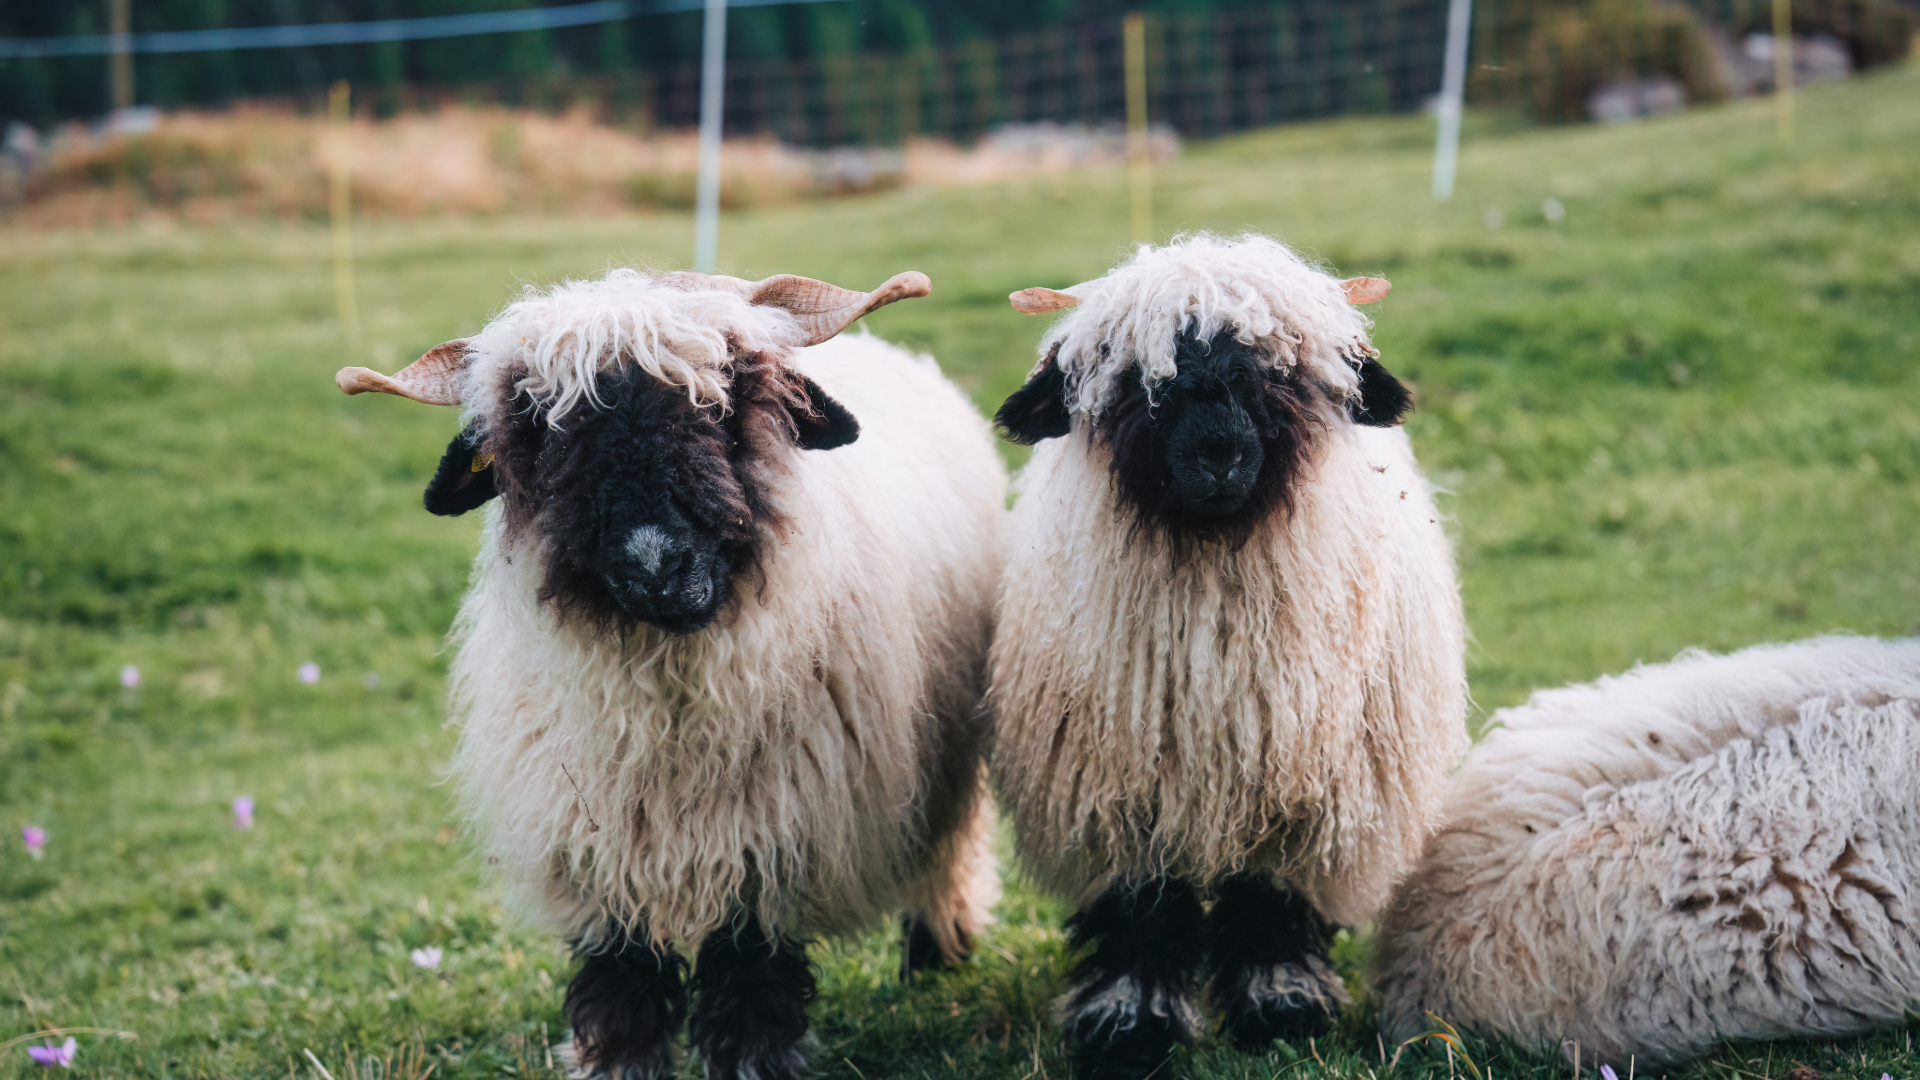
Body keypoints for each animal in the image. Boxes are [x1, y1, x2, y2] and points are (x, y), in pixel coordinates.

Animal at [334, 267, 1006, 1080]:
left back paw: (936, 949)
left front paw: (751, 1061)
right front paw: (618, 1060)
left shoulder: (768, 845)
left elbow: (748, 979)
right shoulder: (596, 848)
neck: (669, 709)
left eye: (725, 402)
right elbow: (622, 976)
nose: (654, 564)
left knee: (950, 847)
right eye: (542, 435)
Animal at [988, 233, 1468, 1078]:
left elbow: (1271, 900)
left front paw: (1282, 1010)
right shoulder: (1119, 792)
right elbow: (1140, 909)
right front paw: (1130, 1025)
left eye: (1283, 372)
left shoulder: (1302, 789)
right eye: (1136, 382)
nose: (1219, 453)